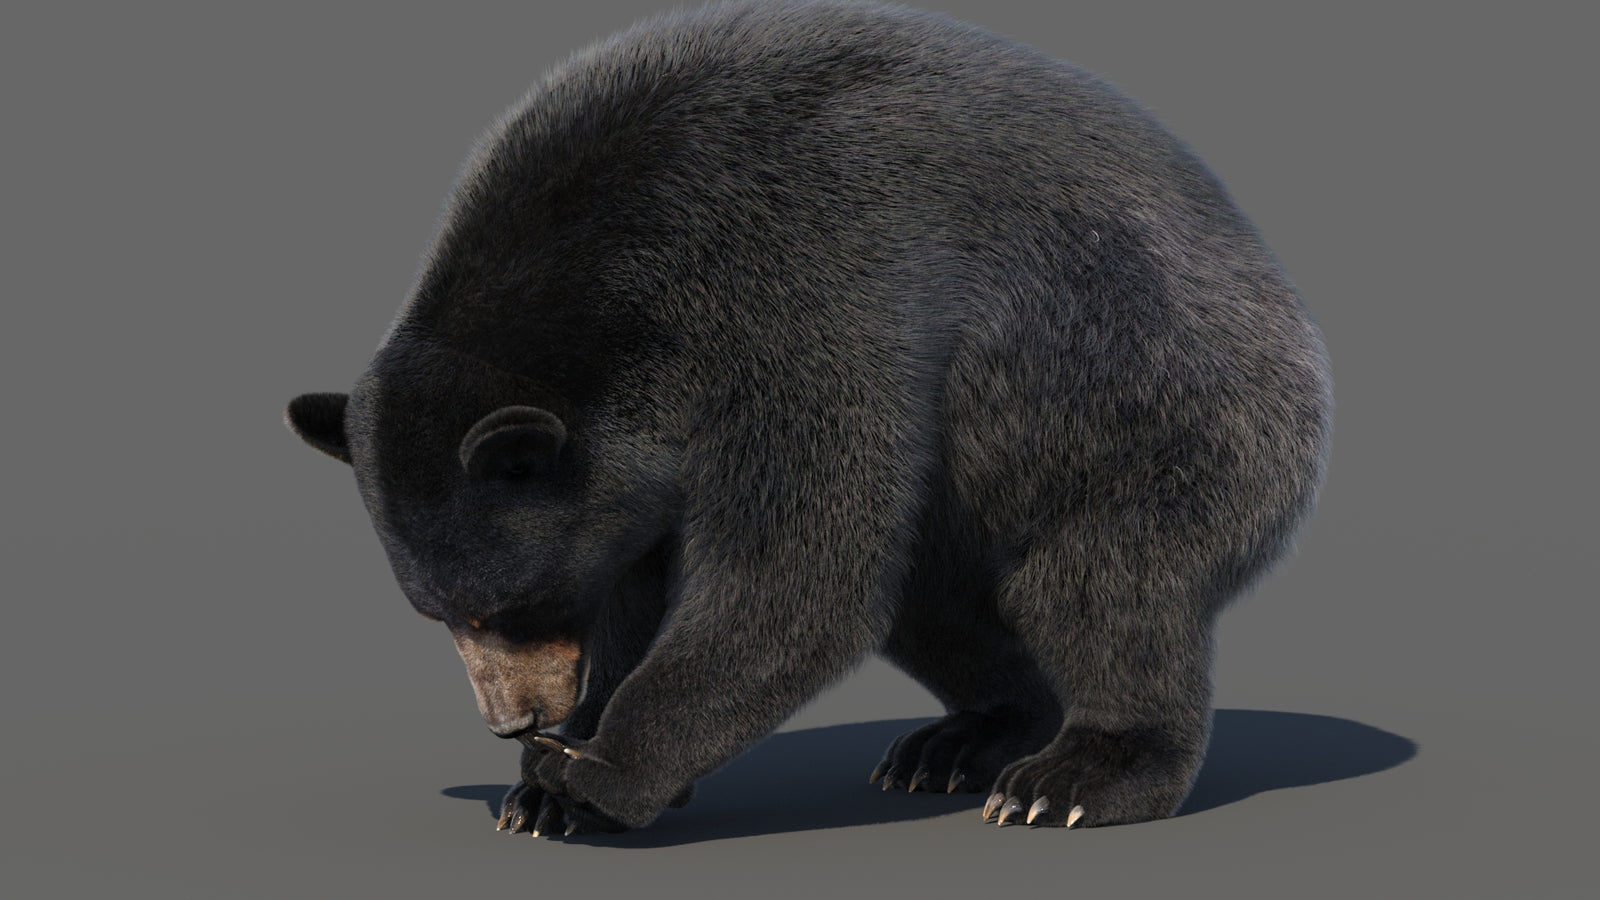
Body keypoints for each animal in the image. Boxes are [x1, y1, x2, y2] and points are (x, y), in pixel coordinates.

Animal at [286, 0, 1331, 836]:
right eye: (435, 611)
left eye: (505, 606)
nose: (516, 720)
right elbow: (644, 584)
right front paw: (545, 787)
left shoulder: (798, 288)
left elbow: (792, 571)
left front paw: (592, 773)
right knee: (933, 602)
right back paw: (961, 742)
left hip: (1164, 409)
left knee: (1098, 582)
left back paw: (1072, 777)